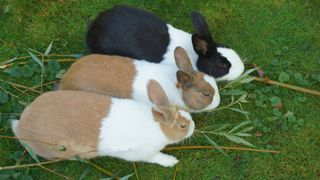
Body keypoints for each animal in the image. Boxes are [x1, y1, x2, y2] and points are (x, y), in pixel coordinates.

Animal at [11, 79, 195, 167]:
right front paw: (171, 161)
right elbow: (155, 157)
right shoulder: (143, 153)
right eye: (182, 126)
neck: (158, 126)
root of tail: (21, 125)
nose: (193, 126)